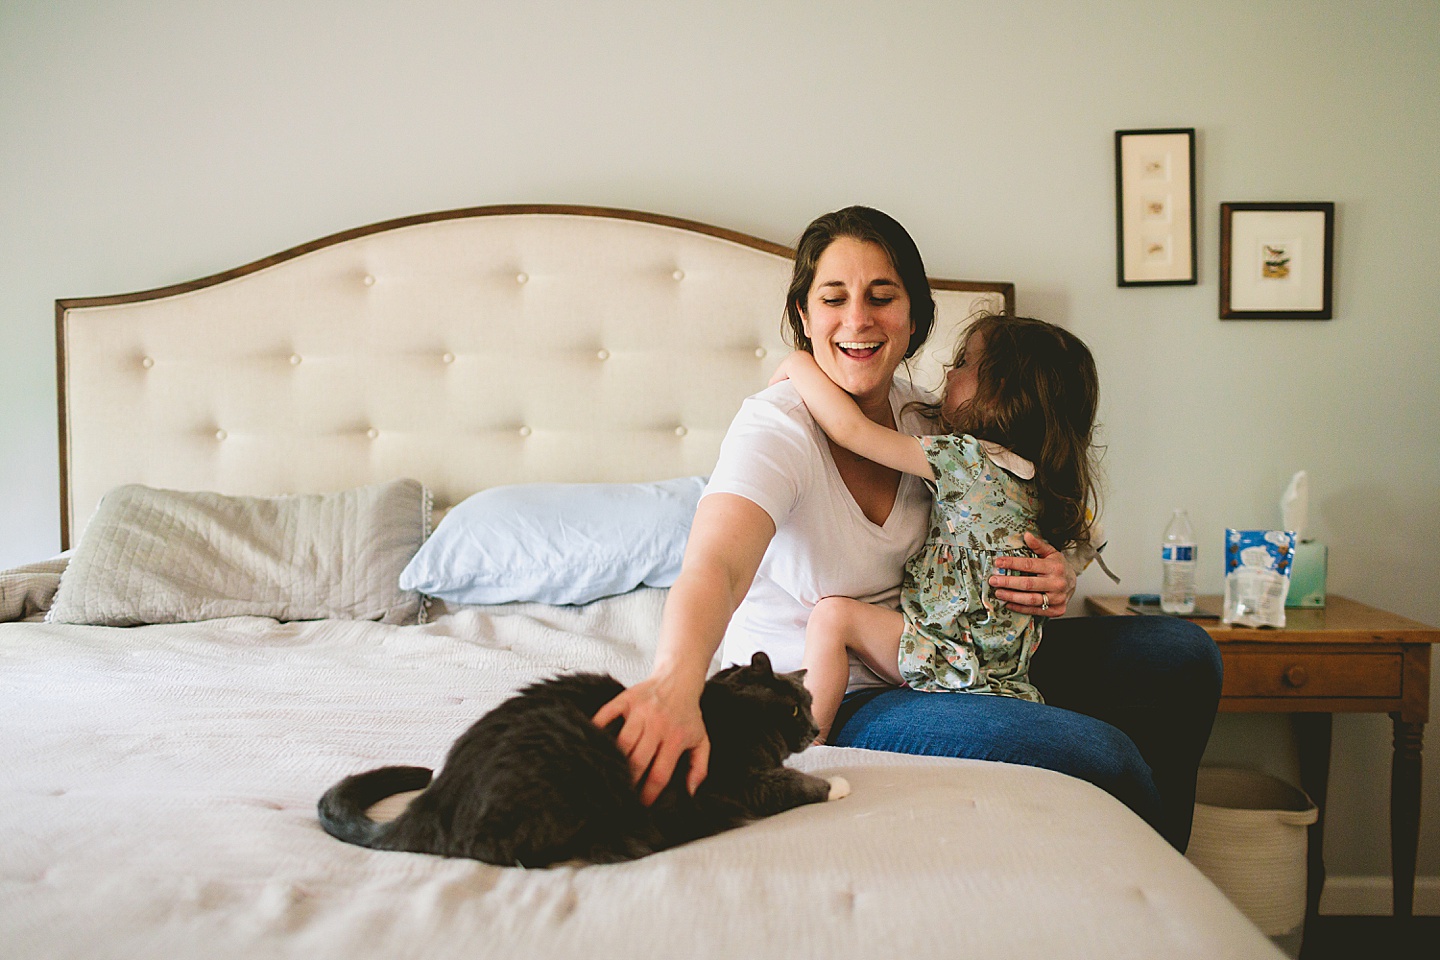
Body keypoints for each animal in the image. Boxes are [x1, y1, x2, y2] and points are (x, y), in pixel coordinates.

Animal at [318, 650, 840, 869]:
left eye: (811, 703)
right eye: (796, 708)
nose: (816, 729)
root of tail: (431, 802)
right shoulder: (731, 780)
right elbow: (787, 782)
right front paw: (834, 785)